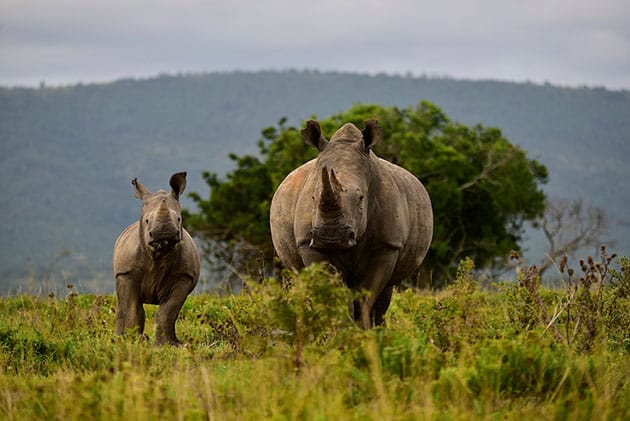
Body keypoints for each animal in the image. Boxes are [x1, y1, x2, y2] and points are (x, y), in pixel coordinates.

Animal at [113, 171, 200, 344]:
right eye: (147, 220)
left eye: (179, 219)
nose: (164, 232)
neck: (160, 253)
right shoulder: (126, 273)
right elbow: (132, 310)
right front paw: (134, 342)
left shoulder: (184, 277)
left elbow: (168, 312)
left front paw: (168, 345)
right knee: (124, 304)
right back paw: (119, 339)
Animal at [272, 120, 434, 326]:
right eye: (313, 197)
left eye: (361, 198)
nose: (330, 237)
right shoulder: (310, 245)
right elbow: (332, 293)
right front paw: (338, 328)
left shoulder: (386, 245)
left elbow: (367, 295)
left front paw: (361, 331)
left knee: (385, 292)